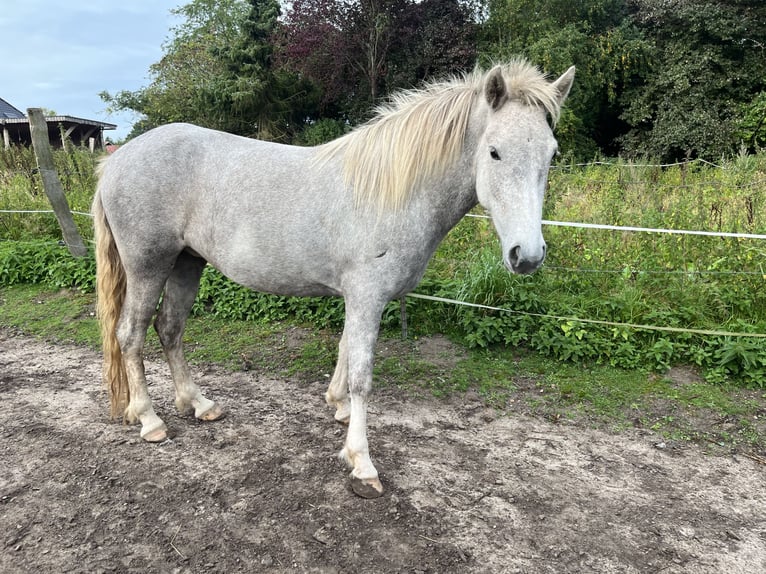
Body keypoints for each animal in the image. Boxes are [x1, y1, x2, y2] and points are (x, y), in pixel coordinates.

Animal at [93, 58, 574, 498]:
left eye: (551, 154)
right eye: (494, 151)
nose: (528, 255)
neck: (394, 191)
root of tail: (116, 162)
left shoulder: (357, 297)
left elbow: (344, 349)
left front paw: (338, 406)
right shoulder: (367, 295)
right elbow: (363, 374)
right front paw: (361, 462)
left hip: (187, 263)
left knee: (169, 328)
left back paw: (197, 403)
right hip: (149, 265)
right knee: (131, 334)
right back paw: (150, 419)